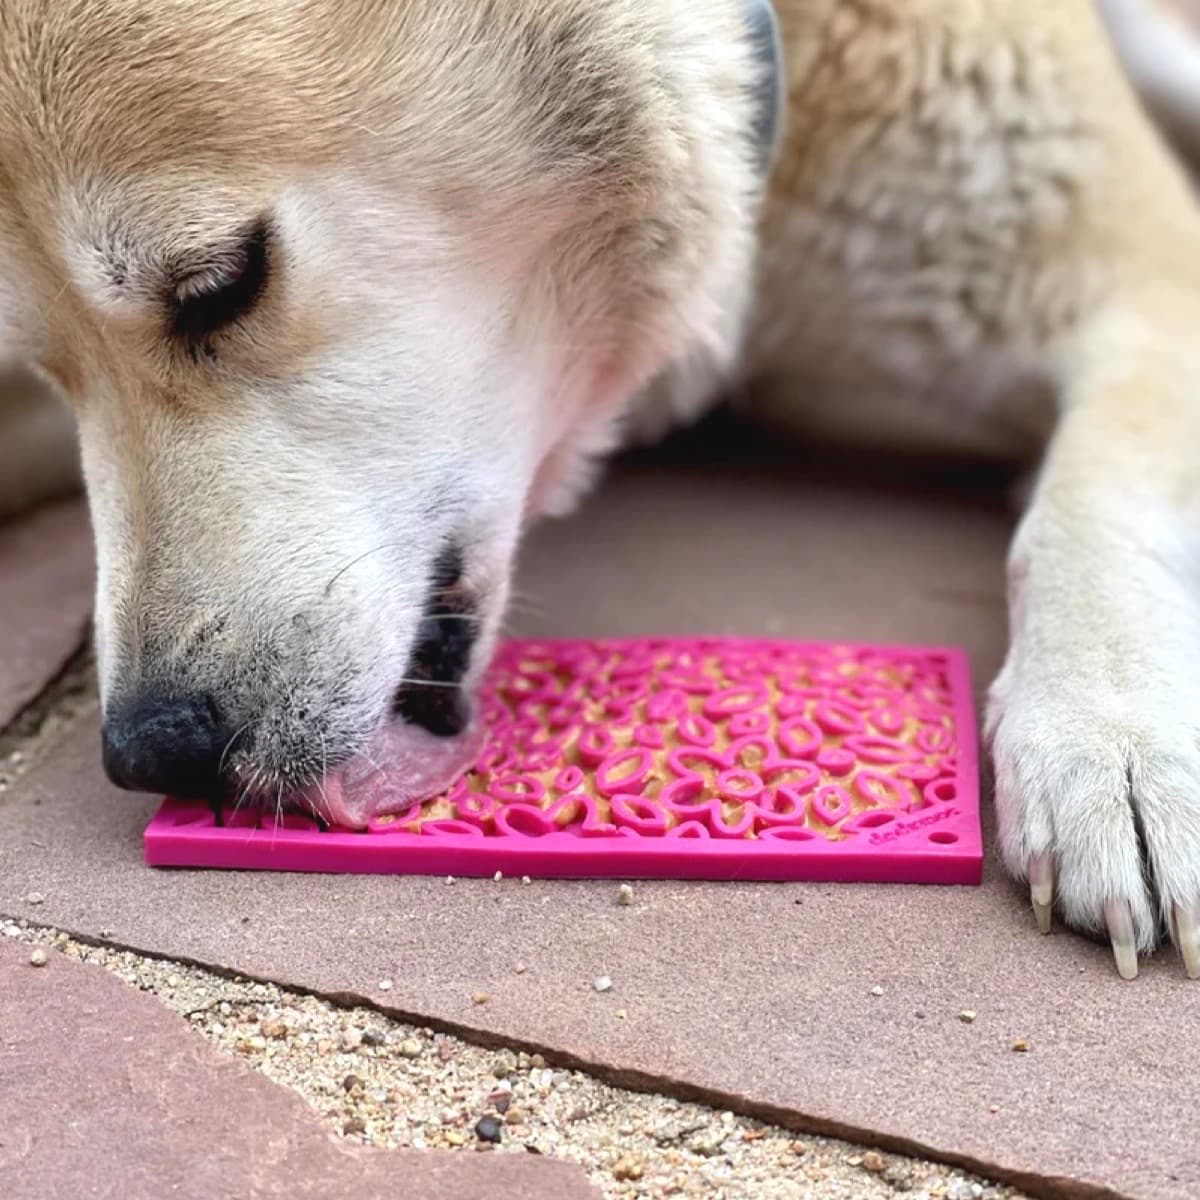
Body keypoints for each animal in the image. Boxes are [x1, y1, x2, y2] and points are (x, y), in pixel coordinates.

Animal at [2, 0, 1200, 979]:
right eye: (49, 371)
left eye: (222, 282)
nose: (153, 752)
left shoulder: (1135, 273)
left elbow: (1093, 502)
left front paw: (1115, 739)